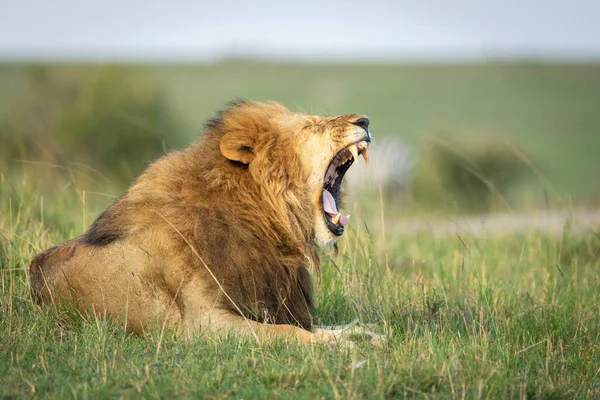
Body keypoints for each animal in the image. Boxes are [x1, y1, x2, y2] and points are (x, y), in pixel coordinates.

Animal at [29, 101, 376, 346]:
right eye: (312, 125)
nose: (365, 121)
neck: (259, 219)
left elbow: (318, 326)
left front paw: (365, 334)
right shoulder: (201, 324)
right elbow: (284, 333)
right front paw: (342, 347)